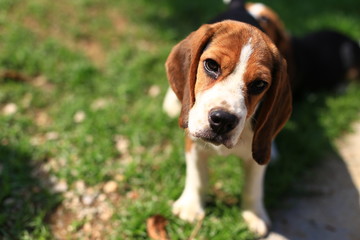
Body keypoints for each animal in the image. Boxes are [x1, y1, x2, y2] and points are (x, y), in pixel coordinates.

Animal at [165, 0, 292, 236]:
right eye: (211, 65)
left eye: (259, 84)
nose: (223, 120)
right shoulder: (193, 140)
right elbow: (197, 175)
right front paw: (190, 207)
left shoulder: (256, 153)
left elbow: (253, 186)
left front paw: (254, 215)